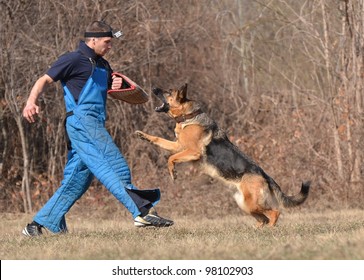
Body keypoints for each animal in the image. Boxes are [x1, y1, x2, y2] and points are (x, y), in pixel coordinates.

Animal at [135, 83, 312, 228]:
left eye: (168, 91)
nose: (153, 88)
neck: (189, 117)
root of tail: (266, 176)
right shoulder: (178, 145)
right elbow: (158, 140)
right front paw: (143, 136)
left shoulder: (192, 152)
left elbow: (170, 158)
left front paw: (173, 173)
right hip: (245, 204)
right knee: (263, 219)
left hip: (251, 204)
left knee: (275, 213)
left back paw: (270, 230)